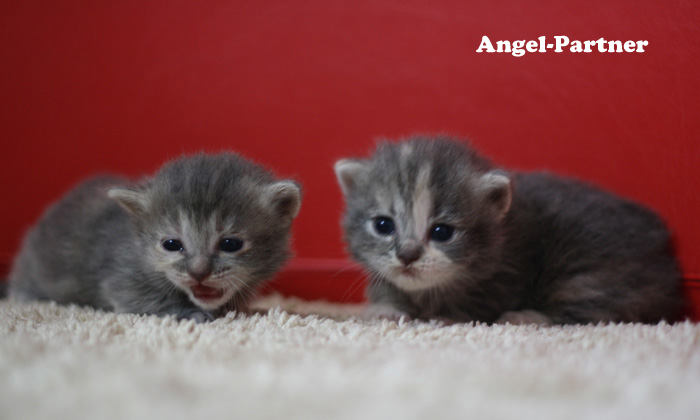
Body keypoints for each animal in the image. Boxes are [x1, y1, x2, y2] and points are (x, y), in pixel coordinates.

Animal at [9, 153, 300, 322]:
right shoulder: (122, 279)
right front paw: (193, 313)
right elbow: (148, 299)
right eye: (172, 245)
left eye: (231, 244)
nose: (198, 273)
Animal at [334, 136, 684, 324]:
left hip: (588, 271)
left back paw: (528, 317)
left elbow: (480, 303)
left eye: (443, 232)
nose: (407, 255)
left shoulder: (507, 274)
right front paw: (384, 308)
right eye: (383, 225)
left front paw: (447, 317)